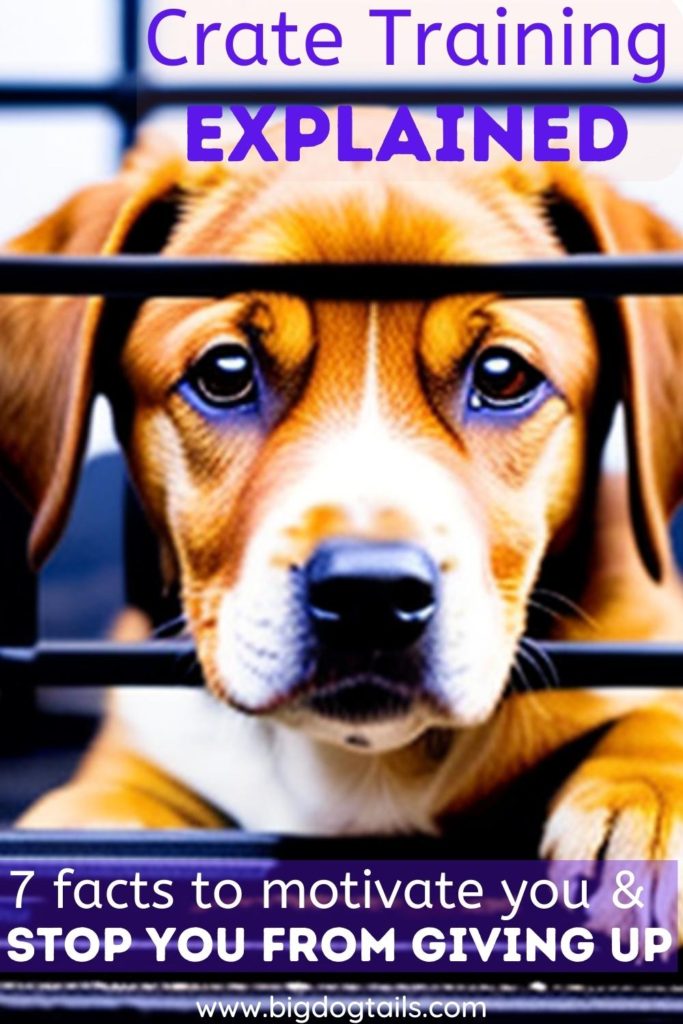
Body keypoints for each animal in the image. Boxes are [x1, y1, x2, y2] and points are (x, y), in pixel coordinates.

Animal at [3, 112, 683, 868]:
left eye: (503, 374)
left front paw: (646, 799)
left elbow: (658, 715)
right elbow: (106, 795)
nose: (371, 596)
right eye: (225, 371)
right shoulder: (144, 738)